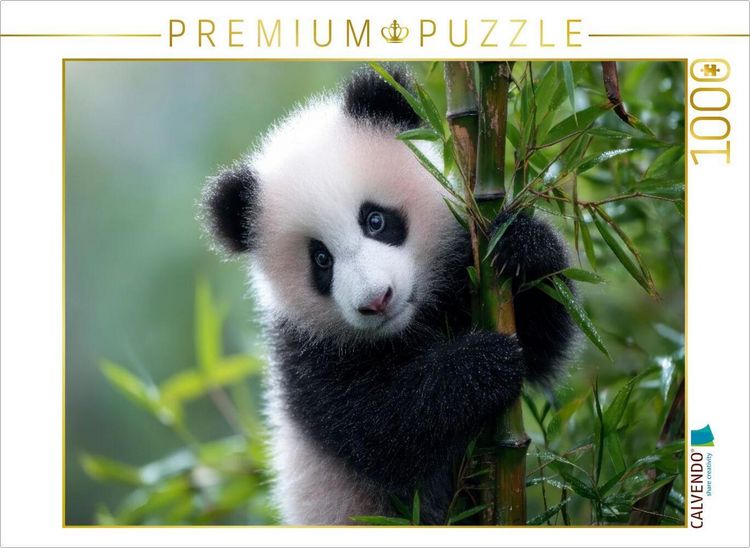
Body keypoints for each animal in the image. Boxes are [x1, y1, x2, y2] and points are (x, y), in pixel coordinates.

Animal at [201, 65, 574, 525]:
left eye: (375, 220)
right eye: (321, 260)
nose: (377, 300)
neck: (409, 328)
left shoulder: (463, 270)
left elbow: (542, 345)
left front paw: (524, 246)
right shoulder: (306, 358)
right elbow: (384, 429)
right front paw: (483, 363)